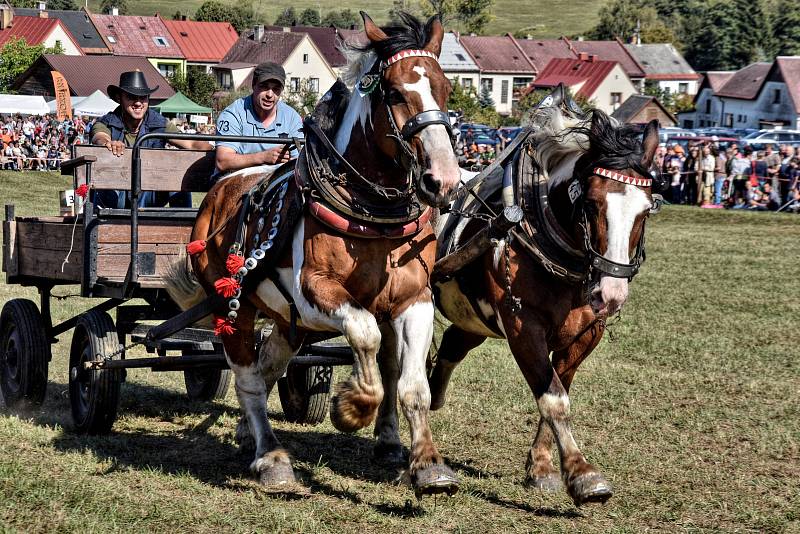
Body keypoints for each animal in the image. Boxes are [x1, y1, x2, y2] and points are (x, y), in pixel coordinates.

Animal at [166, 13, 460, 498]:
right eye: (394, 93)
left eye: (446, 88)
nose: (444, 180)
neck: (370, 216)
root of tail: (218, 191)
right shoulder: (313, 293)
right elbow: (365, 334)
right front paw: (353, 406)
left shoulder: (414, 300)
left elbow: (412, 385)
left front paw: (429, 465)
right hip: (236, 307)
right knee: (248, 378)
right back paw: (271, 458)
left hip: (287, 319)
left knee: (269, 366)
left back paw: (249, 434)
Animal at [428, 94, 660, 508]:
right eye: (591, 203)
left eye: (646, 210)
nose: (611, 294)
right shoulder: (523, 328)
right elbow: (552, 397)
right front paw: (583, 474)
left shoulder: (586, 333)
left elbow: (559, 388)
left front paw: (542, 466)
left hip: (474, 316)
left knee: (454, 342)